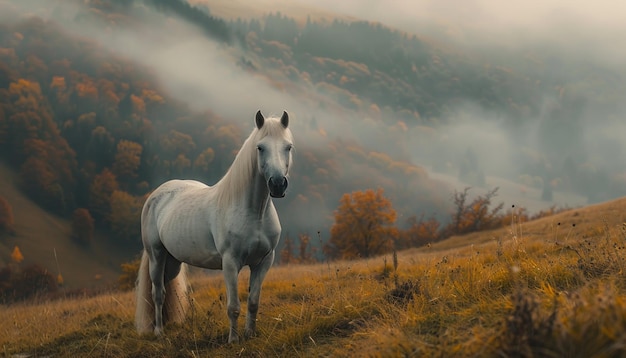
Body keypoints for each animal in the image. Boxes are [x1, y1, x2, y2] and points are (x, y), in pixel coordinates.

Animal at [135, 110, 292, 342]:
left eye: (288, 146)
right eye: (260, 147)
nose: (278, 184)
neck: (253, 212)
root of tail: (156, 194)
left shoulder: (264, 261)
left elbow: (253, 302)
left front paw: (250, 335)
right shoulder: (230, 263)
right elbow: (233, 306)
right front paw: (233, 340)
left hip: (172, 262)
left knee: (166, 287)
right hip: (156, 255)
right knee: (157, 293)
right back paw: (159, 331)